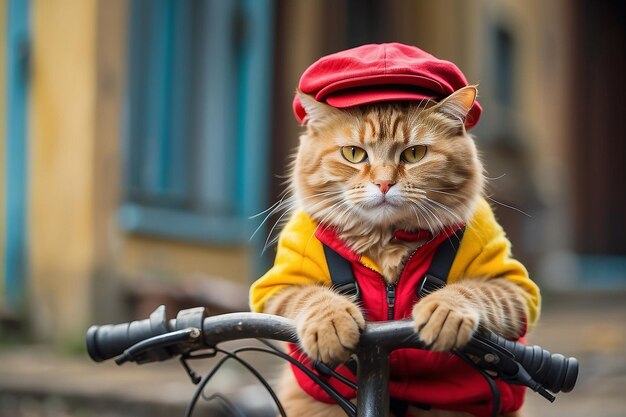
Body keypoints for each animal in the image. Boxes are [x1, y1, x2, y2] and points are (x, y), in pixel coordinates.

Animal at [251, 85, 540, 416]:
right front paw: (331, 323)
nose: (384, 183)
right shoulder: (278, 288)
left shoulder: (514, 289)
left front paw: (444, 311)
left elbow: (470, 292)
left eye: (414, 154)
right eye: (354, 154)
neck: (387, 241)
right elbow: (315, 297)